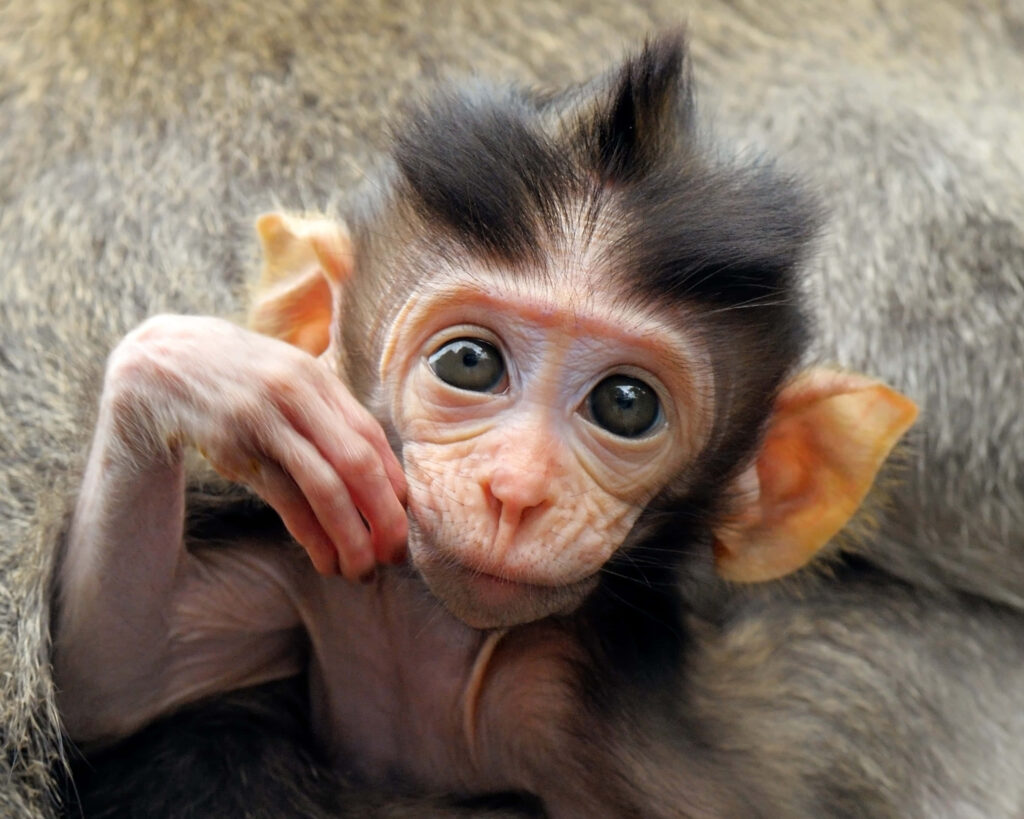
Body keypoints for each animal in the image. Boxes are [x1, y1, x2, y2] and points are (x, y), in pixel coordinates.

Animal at [2, 2, 1023, 817]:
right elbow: (115, 672)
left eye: (625, 405)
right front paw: (224, 381)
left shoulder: (582, 706)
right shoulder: (311, 580)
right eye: (470, 362)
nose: (517, 489)